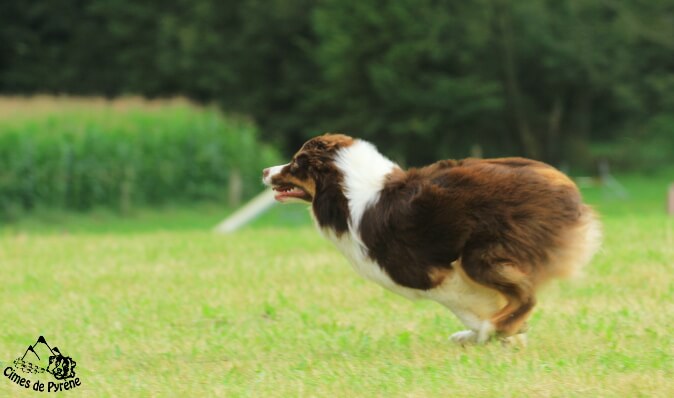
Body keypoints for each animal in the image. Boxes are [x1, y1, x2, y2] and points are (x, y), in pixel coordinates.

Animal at [262, 134, 600, 346]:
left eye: (295, 162)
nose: (265, 170)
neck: (344, 190)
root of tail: (565, 185)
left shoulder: (425, 274)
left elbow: (465, 307)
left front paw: (492, 334)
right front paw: (507, 336)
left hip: (479, 256)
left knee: (526, 296)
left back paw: (493, 328)